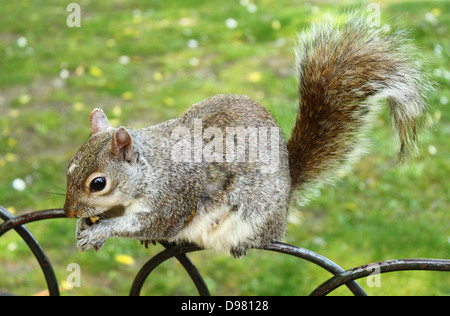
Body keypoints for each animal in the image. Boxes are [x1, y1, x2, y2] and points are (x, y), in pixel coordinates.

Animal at [64, 13, 432, 258]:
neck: (148, 170)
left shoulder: (172, 199)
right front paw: (86, 226)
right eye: (69, 168)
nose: (68, 212)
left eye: (98, 183)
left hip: (257, 217)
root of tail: (286, 200)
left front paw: (101, 230)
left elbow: (150, 224)